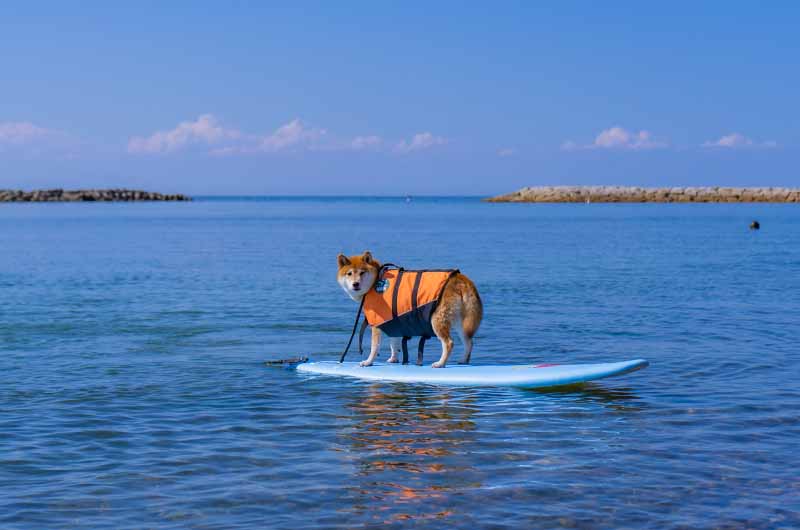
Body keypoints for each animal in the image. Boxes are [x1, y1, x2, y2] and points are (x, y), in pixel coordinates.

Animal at [336, 251, 482, 368]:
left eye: (362, 272)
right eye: (349, 273)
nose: (355, 284)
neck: (375, 281)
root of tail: (461, 279)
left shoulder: (377, 324)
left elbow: (374, 347)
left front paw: (368, 362)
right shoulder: (392, 321)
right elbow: (394, 343)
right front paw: (393, 359)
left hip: (437, 320)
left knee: (449, 343)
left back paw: (440, 363)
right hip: (460, 322)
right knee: (469, 342)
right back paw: (463, 360)